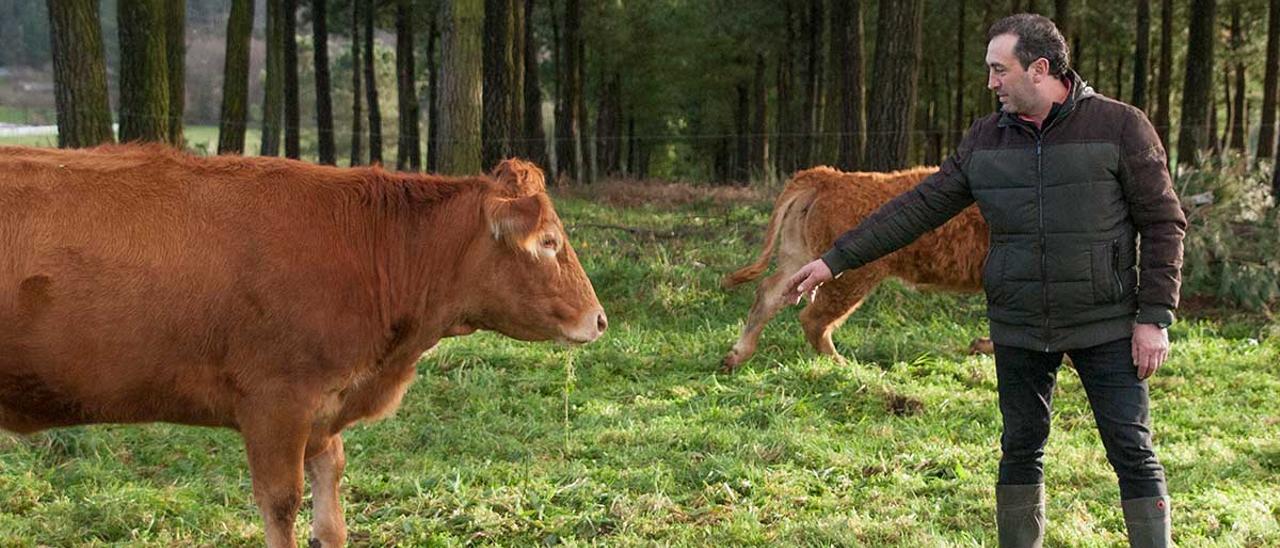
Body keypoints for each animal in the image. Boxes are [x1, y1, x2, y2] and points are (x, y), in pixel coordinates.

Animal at [0, 143, 606, 545]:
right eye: (548, 242)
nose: (599, 320)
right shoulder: (276, 403)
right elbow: (281, 502)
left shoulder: (323, 408)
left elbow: (330, 506)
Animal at [721, 166, 988, 371]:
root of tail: (831, 177)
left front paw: (980, 345)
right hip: (849, 279)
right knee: (812, 319)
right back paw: (843, 365)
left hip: (799, 260)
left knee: (769, 294)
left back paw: (736, 356)